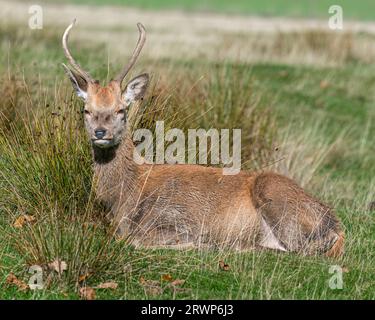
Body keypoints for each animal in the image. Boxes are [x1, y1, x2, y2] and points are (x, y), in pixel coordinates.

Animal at [62, 20, 346, 258]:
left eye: (121, 109)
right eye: (86, 110)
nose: (101, 132)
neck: (123, 198)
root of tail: (338, 227)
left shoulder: (173, 218)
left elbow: (137, 240)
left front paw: (197, 243)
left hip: (276, 197)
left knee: (297, 249)